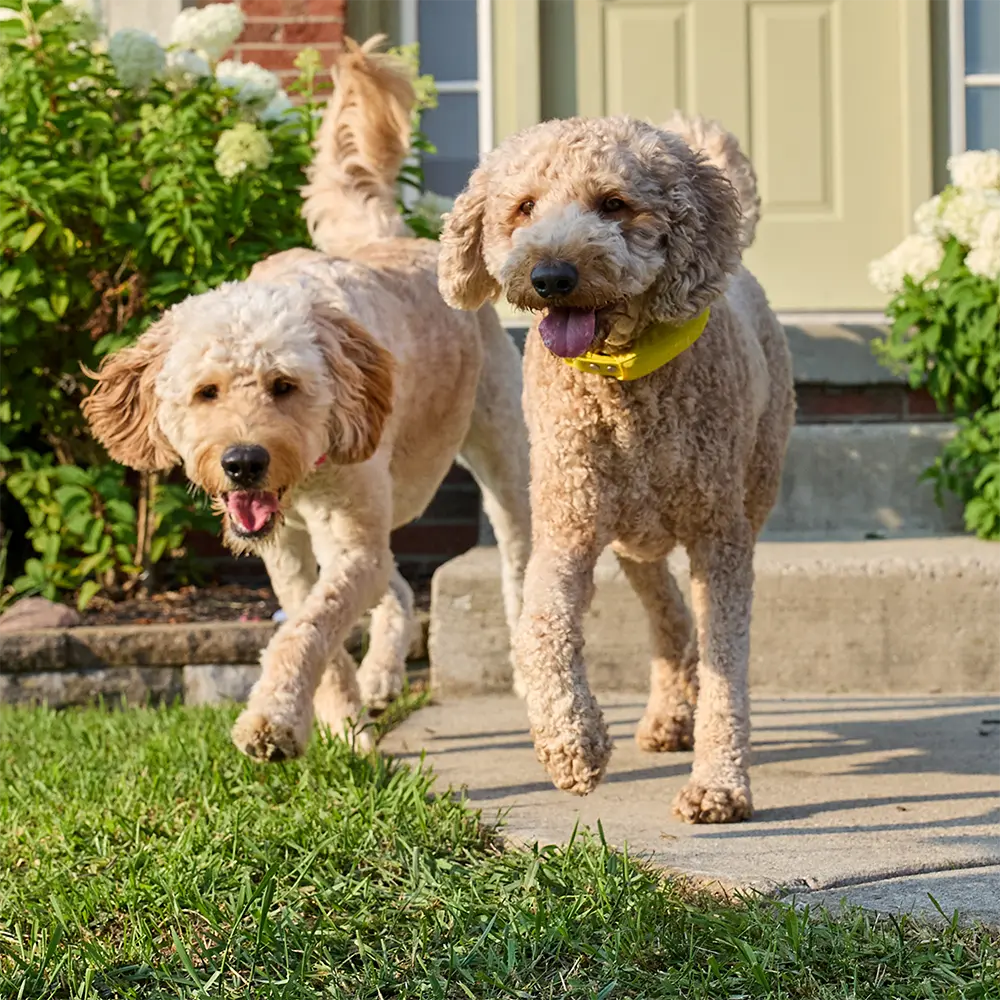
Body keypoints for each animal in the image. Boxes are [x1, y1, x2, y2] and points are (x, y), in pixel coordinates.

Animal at [84, 37, 532, 756]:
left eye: (285, 386)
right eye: (206, 392)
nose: (243, 462)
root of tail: (390, 236)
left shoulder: (348, 540)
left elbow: (310, 629)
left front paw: (274, 718)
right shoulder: (288, 554)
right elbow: (315, 627)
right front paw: (341, 719)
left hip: (499, 463)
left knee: (512, 568)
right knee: (396, 584)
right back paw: (380, 679)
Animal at [442, 113, 792, 824]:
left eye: (613, 204)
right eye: (524, 208)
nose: (551, 275)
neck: (625, 382)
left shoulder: (721, 541)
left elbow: (727, 661)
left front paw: (719, 785)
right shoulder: (566, 529)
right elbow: (540, 629)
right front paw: (573, 745)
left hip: (743, 493)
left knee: (688, 623)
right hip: (634, 539)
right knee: (671, 619)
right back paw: (666, 716)